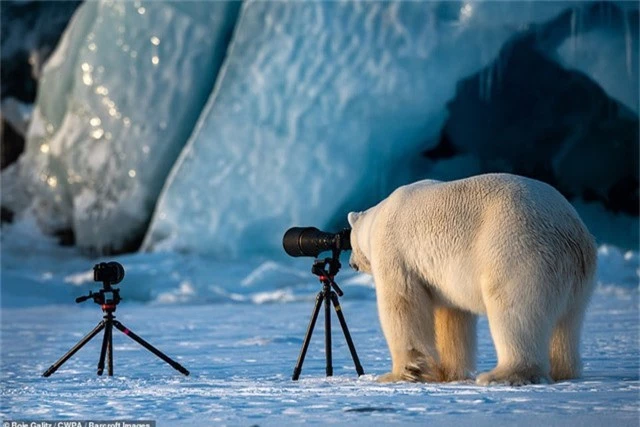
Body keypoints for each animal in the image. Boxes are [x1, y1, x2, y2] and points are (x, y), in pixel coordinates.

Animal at [348, 172, 596, 386]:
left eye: (349, 242)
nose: (351, 263)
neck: (378, 217)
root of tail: (571, 232)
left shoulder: (395, 252)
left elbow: (402, 305)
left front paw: (399, 374)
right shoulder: (444, 278)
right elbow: (452, 317)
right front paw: (446, 373)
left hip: (519, 252)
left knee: (515, 313)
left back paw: (501, 375)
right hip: (577, 279)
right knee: (568, 324)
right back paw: (564, 371)